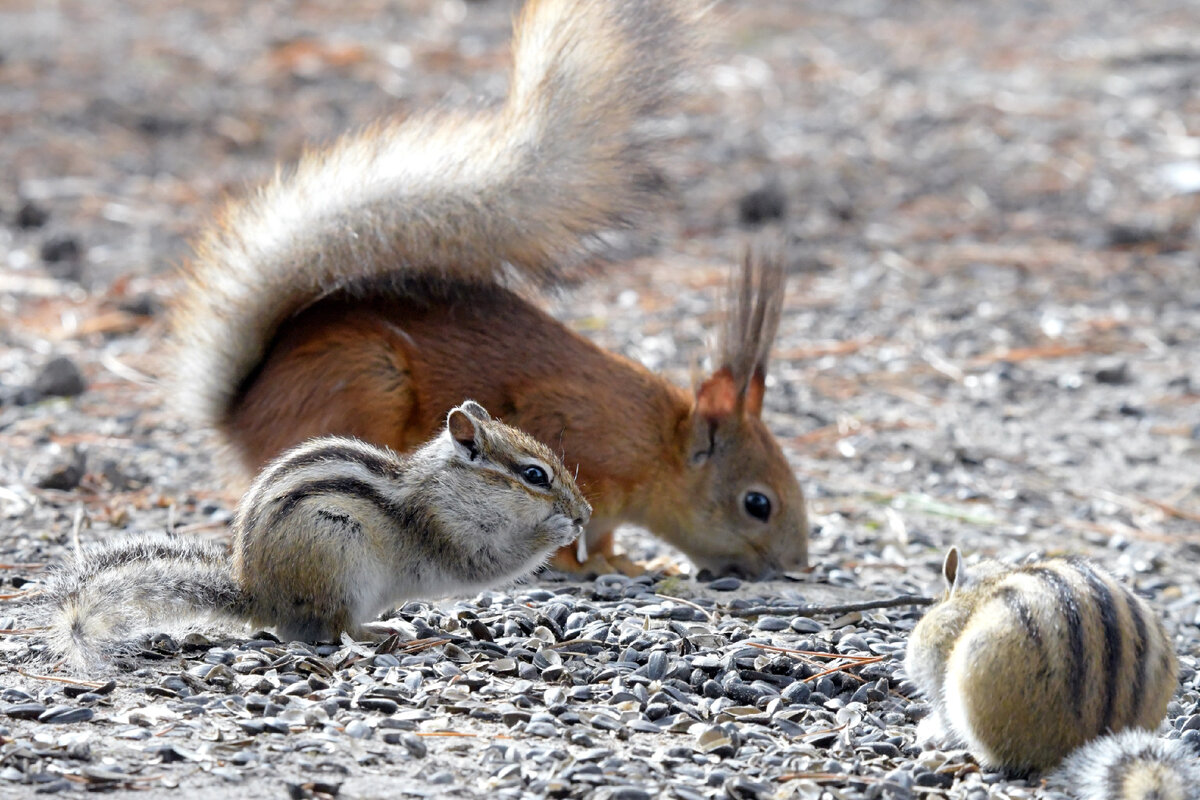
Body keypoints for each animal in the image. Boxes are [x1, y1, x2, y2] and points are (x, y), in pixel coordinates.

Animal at [166, 0, 806, 575]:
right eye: (758, 504)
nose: (797, 566)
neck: (654, 442)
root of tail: (240, 416)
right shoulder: (578, 448)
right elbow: (578, 526)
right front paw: (595, 566)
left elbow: (600, 532)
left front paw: (623, 560)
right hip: (365, 389)